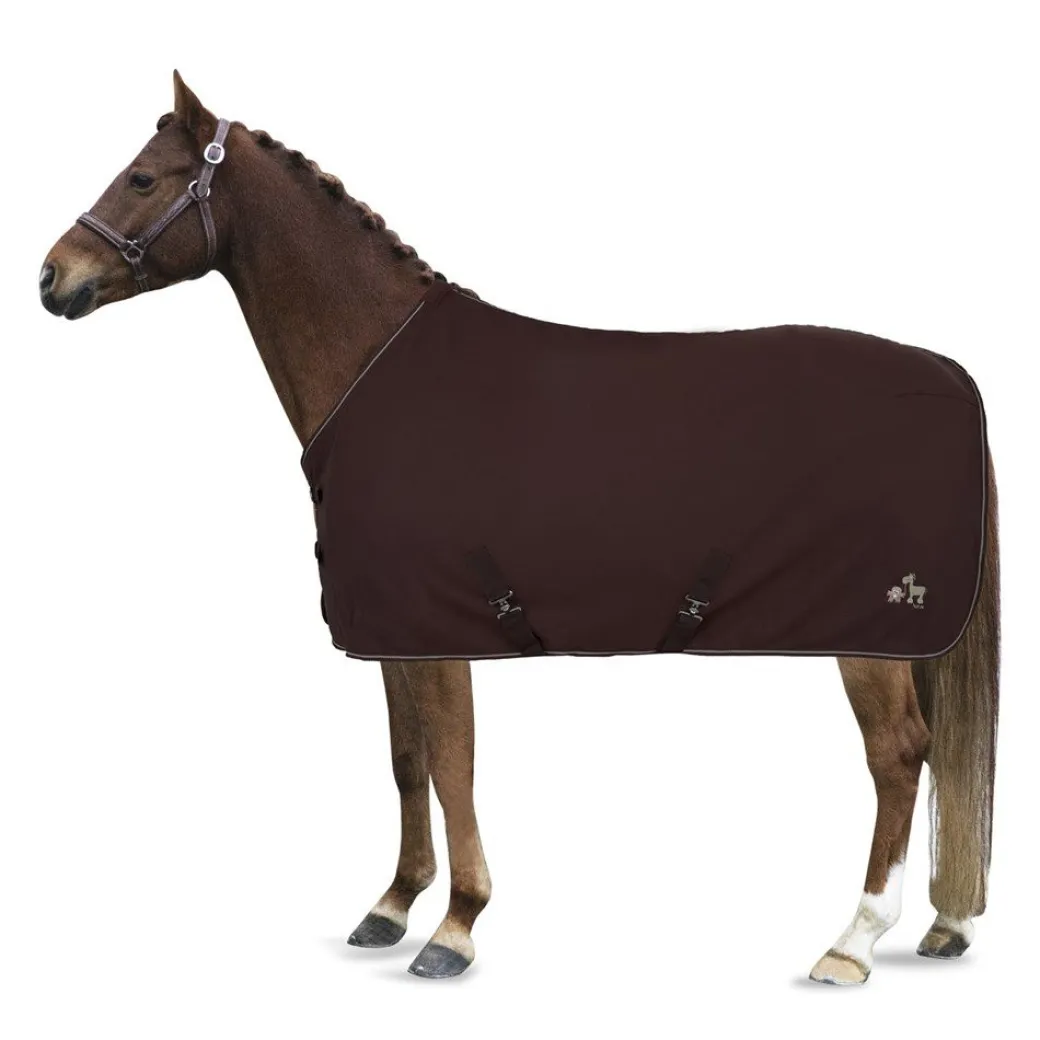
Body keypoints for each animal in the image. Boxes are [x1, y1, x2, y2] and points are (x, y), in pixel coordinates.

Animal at [39, 72, 999, 985]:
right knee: (941, 754)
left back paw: (854, 943)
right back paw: (943, 927)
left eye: (143, 178)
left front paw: (454, 929)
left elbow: (454, 764)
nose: (52, 277)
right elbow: (408, 761)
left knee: (899, 756)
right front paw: (391, 905)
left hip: (868, 635)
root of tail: (952, 375)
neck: (379, 373)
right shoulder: (393, 631)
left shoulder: (445, 629)